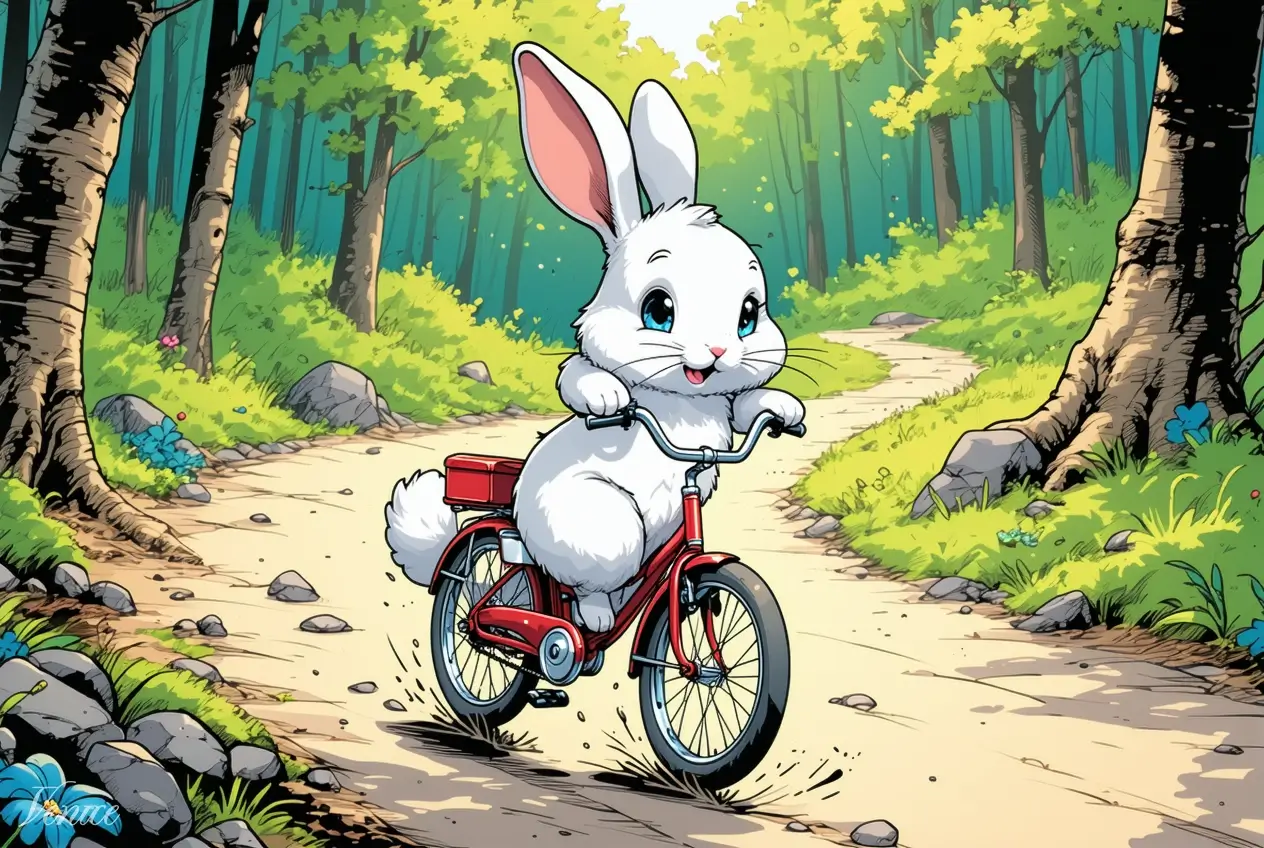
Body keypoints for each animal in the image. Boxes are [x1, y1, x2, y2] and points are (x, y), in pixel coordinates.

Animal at [384, 42, 804, 634]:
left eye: (749, 313)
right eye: (658, 309)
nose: (721, 352)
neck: (680, 404)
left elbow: (743, 410)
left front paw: (783, 407)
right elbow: (579, 375)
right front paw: (607, 397)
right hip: (585, 530)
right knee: (522, 593)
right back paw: (582, 623)